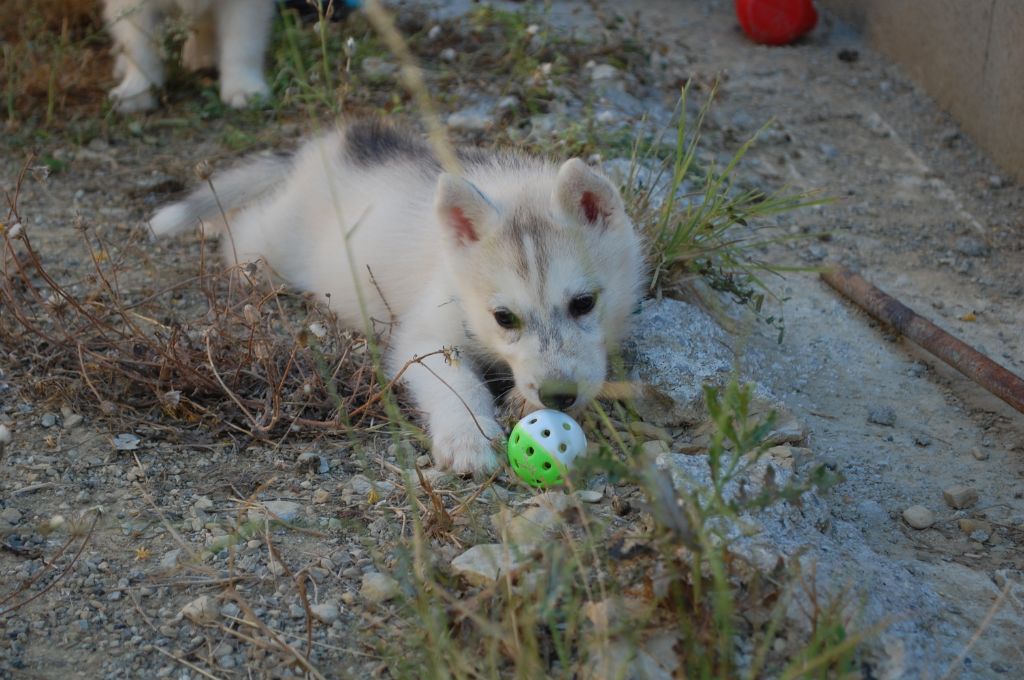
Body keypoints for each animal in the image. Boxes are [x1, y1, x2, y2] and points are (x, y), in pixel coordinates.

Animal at [102, 0, 274, 112]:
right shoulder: (133, 7)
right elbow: (140, 48)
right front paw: (137, 91)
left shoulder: (246, 7)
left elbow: (242, 43)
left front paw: (244, 88)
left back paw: (201, 55)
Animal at [150, 119, 646, 474]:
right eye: (504, 318)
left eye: (584, 304)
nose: (558, 396)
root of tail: (326, 149)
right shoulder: (424, 340)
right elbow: (458, 385)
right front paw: (467, 436)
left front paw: (525, 402)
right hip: (269, 245)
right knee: (242, 229)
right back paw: (213, 227)